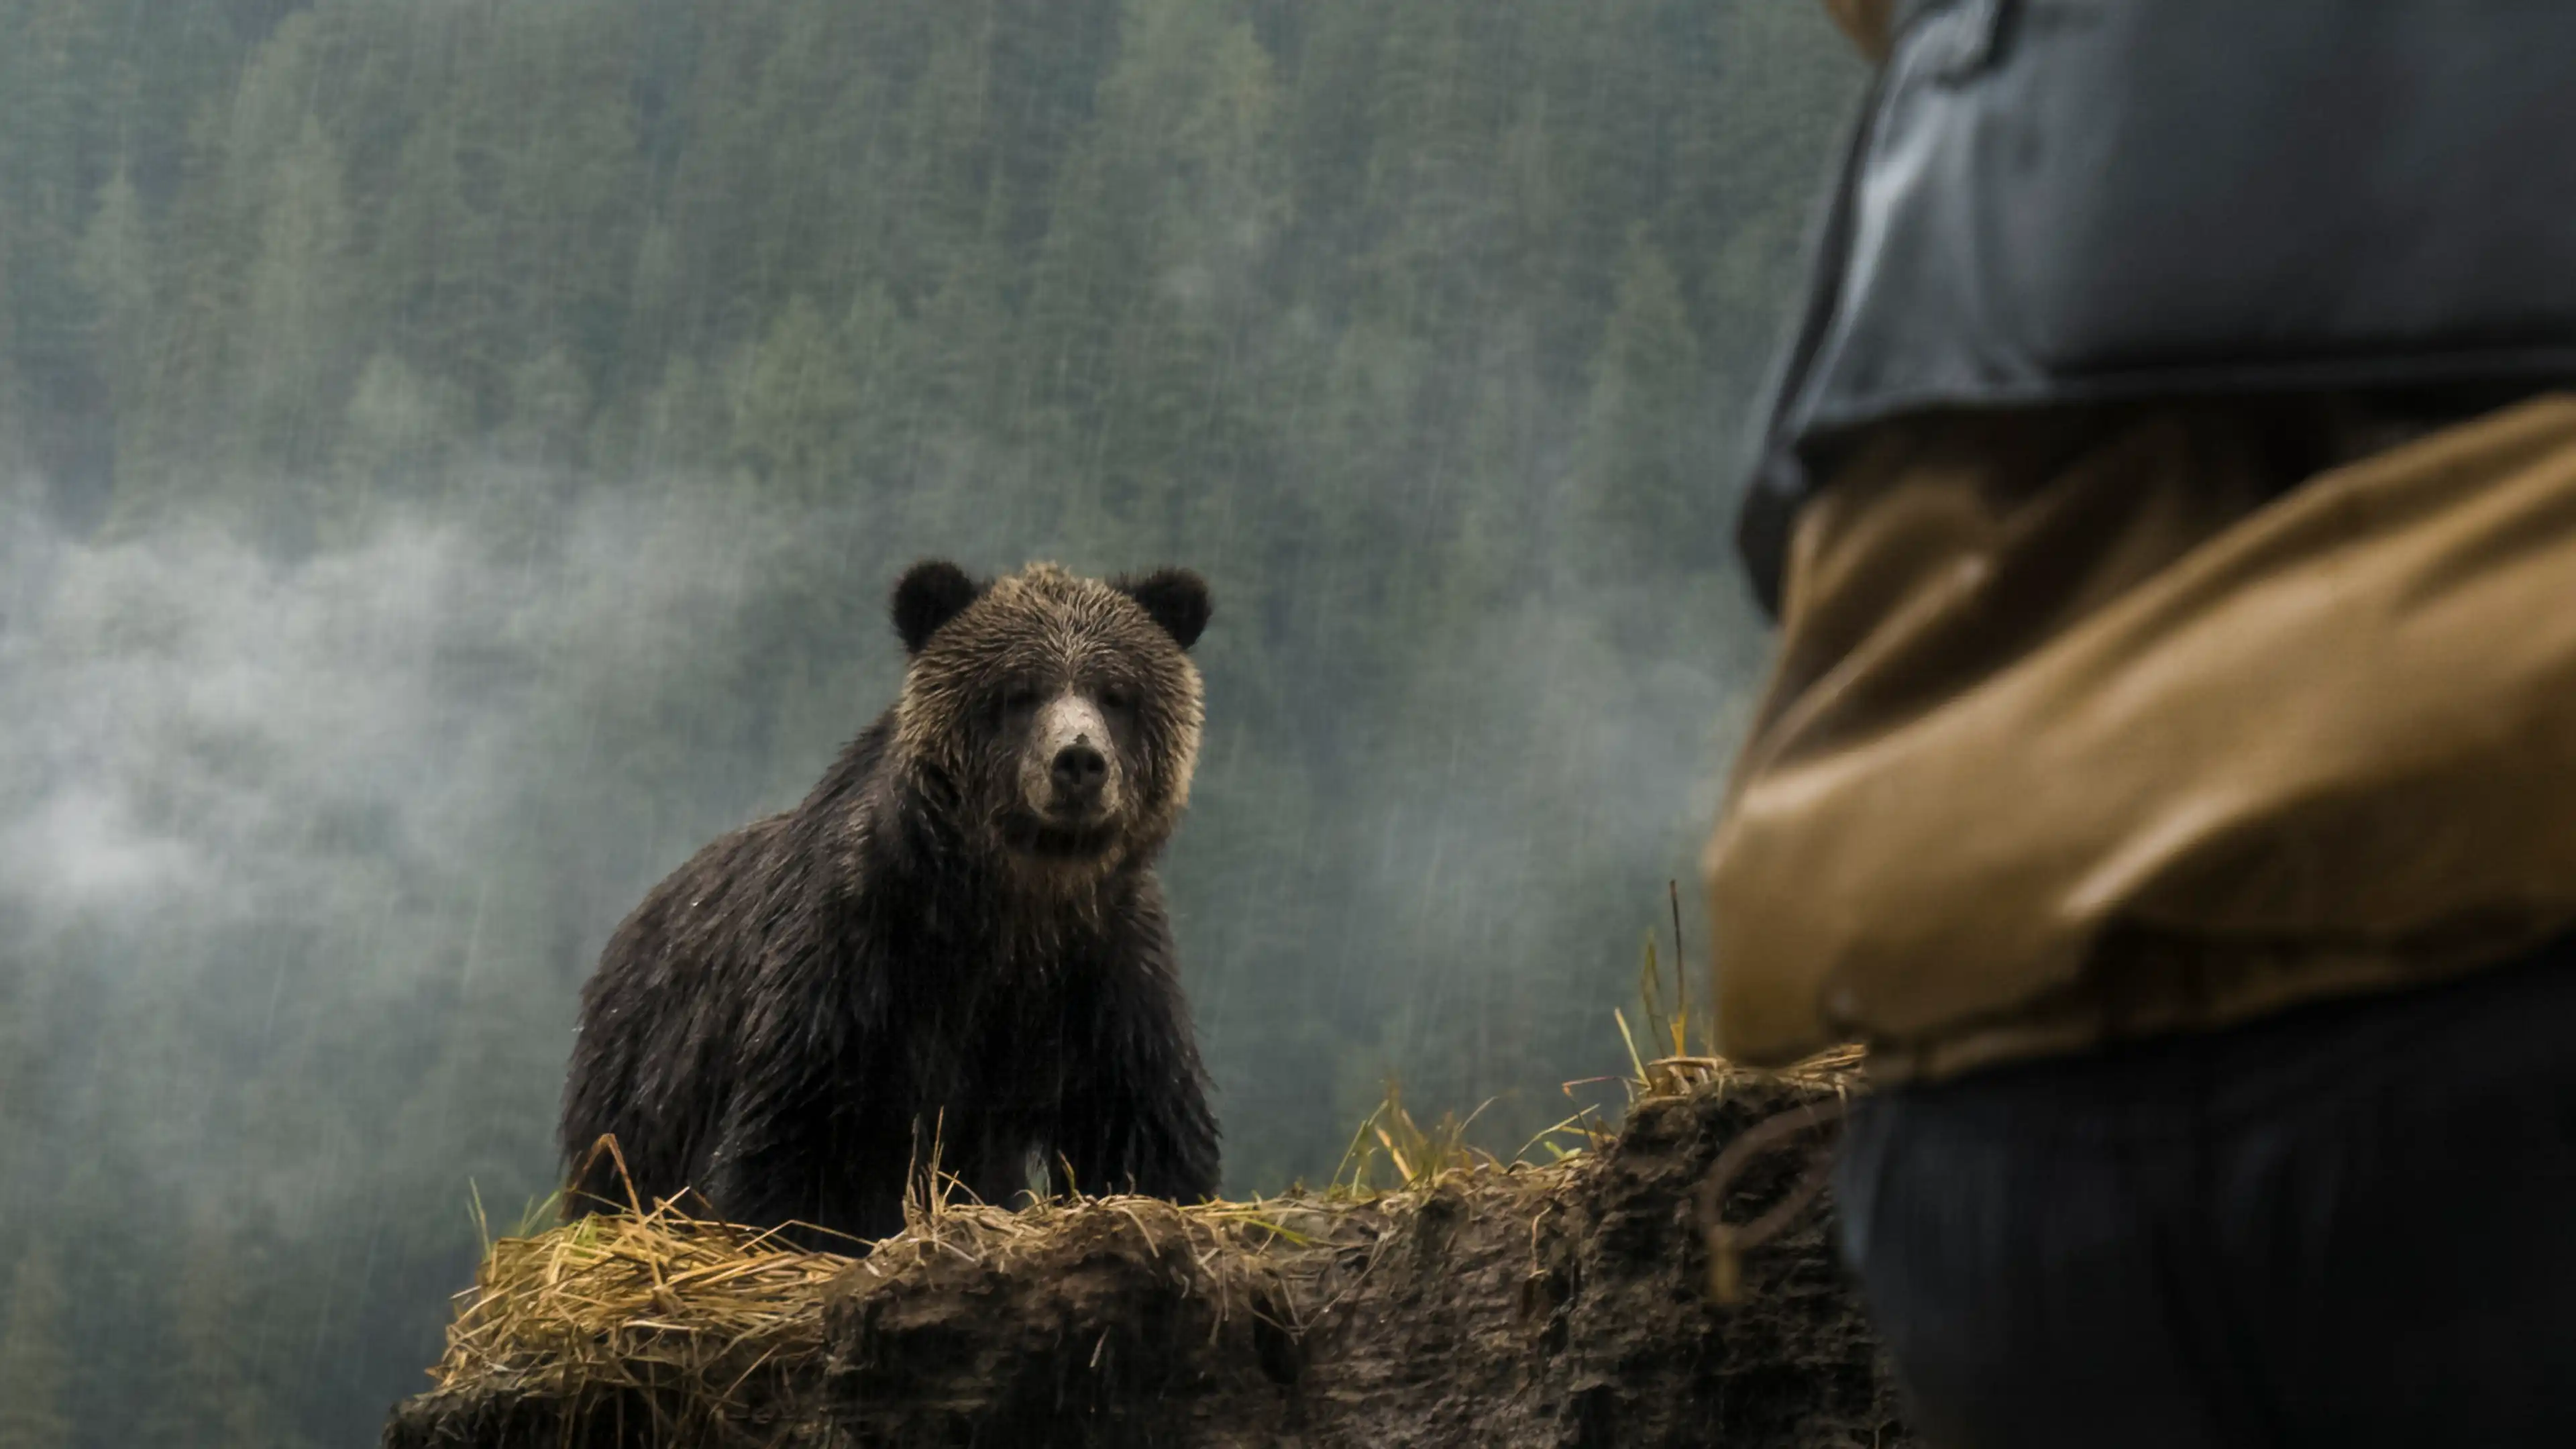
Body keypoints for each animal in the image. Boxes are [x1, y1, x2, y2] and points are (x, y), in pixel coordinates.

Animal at [558, 559, 1222, 1241]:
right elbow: (797, 1135)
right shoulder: (859, 958)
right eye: (1020, 691)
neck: (1016, 903)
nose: (1079, 761)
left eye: (1116, 693)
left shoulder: (1107, 975)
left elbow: (1140, 1126)